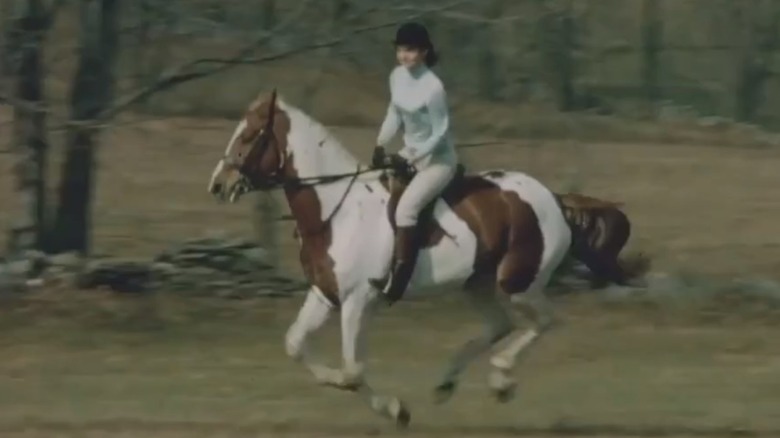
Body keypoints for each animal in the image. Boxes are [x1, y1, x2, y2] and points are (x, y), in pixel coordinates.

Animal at [207, 90, 572, 428]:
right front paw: (387, 404)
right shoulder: (325, 294)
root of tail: (552, 198)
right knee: (501, 325)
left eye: (250, 135)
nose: (218, 185)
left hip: (519, 283)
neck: (336, 213)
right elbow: (295, 344)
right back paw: (448, 382)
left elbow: (352, 371)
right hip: (476, 284)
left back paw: (501, 379)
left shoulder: (357, 301)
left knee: (543, 320)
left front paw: (395, 410)